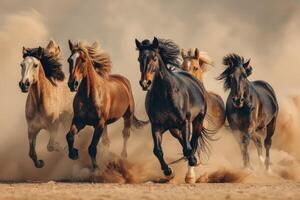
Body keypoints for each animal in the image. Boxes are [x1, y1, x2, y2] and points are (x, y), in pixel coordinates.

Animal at [18, 39, 74, 168]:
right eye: (21, 65)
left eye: (35, 65)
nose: (24, 84)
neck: (39, 103)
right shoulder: (32, 129)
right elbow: (31, 153)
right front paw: (40, 163)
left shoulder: (54, 127)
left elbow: (50, 146)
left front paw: (62, 149)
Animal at [65, 39, 148, 170]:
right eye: (69, 60)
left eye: (83, 60)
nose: (72, 84)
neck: (89, 96)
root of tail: (124, 81)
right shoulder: (79, 121)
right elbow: (69, 136)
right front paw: (74, 153)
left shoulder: (99, 124)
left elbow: (92, 148)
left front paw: (96, 167)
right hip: (105, 124)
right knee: (106, 141)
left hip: (127, 116)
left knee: (125, 134)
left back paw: (123, 156)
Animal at [135, 37, 212, 183]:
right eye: (139, 59)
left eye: (154, 58)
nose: (145, 83)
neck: (165, 94)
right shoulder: (156, 126)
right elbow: (157, 150)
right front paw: (168, 172)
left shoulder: (185, 122)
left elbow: (188, 148)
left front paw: (191, 167)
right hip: (173, 129)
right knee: (183, 141)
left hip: (197, 121)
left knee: (193, 142)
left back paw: (191, 167)